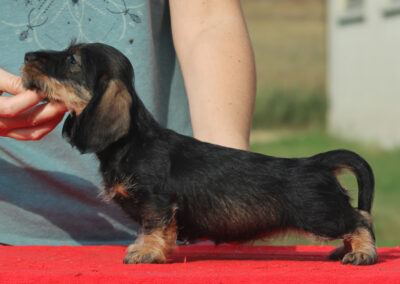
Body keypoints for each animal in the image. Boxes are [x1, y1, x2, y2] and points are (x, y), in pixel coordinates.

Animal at [21, 43, 378, 266]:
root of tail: (316, 162)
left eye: (73, 60)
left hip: (320, 214)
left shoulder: (157, 203)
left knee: (361, 219)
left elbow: (154, 228)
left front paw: (146, 253)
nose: (26, 56)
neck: (131, 142)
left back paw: (362, 254)